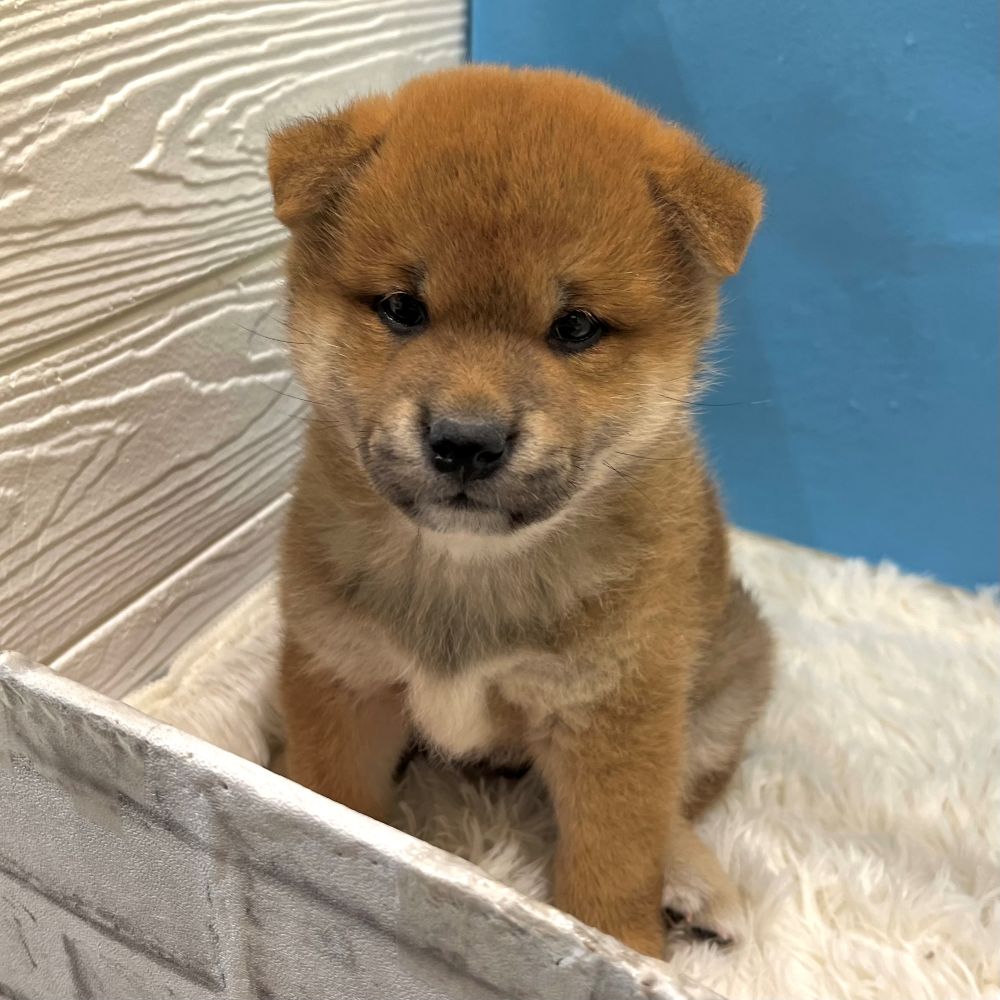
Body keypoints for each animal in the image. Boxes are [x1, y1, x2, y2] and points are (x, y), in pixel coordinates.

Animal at [267, 65, 773, 958]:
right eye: (402, 308)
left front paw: (628, 952)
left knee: (675, 808)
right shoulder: (343, 678)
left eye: (574, 327)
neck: (466, 573)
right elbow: (335, 806)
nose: (467, 441)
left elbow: (615, 860)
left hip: (727, 677)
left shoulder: (611, 712)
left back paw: (695, 885)